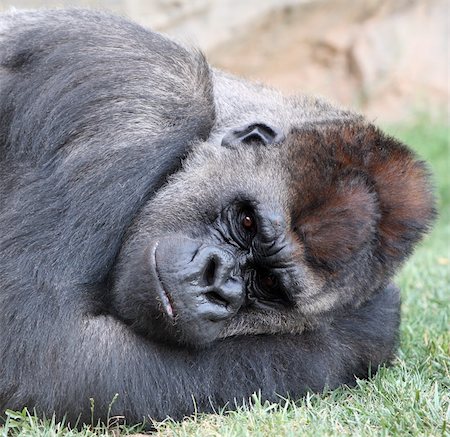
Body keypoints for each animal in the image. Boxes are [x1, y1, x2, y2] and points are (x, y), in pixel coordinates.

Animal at [0, 9, 436, 426]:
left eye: (269, 283)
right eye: (247, 223)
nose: (215, 284)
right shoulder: (143, 93)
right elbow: (48, 353)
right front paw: (352, 333)